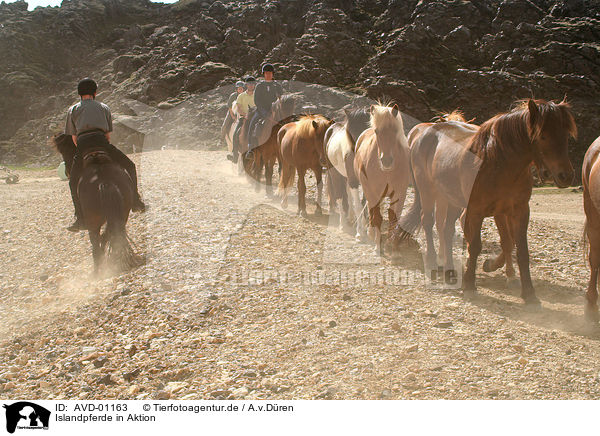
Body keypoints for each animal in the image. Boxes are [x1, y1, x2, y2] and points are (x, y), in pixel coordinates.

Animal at [52, 135, 139, 274]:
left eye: (63, 151)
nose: (65, 172)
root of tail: (104, 181)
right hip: (122, 214)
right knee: (112, 234)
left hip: (92, 223)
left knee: (96, 244)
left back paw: (97, 271)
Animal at [354, 103, 410, 255]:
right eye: (377, 131)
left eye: (395, 130)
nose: (386, 161)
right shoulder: (372, 192)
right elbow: (377, 217)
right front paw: (378, 245)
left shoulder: (399, 193)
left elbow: (394, 218)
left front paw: (393, 247)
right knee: (371, 211)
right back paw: (367, 233)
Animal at [396, 99, 576, 304]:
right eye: (543, 136)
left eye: (566, 135)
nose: (566, 175)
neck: (498, 162)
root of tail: (423, 133)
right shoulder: (476, 211)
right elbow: (475, 246)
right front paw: (470, 285)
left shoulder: (517, 211)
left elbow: (518, 248)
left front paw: (529, 293)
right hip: (428, 192)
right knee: (428, 222)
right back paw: (435, 262)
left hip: (453, 200)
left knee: (447, 230)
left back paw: (450, 270)